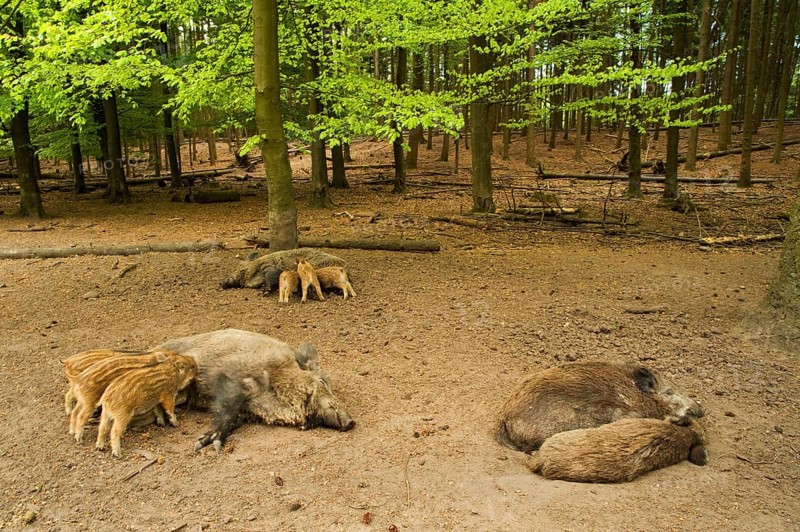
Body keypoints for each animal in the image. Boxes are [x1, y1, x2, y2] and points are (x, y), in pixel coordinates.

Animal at [155, 329, 355, 452]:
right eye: (322, 381)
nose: (351, 422)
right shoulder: (233, 380)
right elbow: (228, 409)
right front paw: (205, 445)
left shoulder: (247, 411)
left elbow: (234, 418)